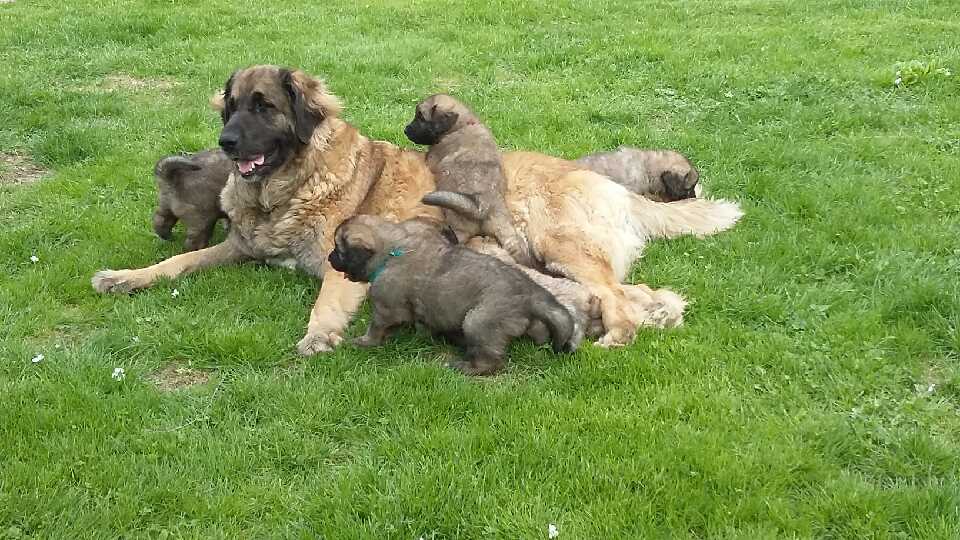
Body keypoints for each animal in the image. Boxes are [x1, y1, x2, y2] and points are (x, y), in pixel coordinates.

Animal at [328, 215, 576, 376]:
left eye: (339, 250)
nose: (330, 258)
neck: (390, 252)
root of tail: (529, 293)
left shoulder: (385, 309)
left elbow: (376, 329)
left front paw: (363, 342)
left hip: (478, 321)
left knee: (491, 360)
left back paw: (465, 367)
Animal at [400, 95, 532, 268]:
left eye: (421, 116)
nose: (406, 130)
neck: (462, 125)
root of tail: (482, 208)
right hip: (510, 235)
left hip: (457, 226)